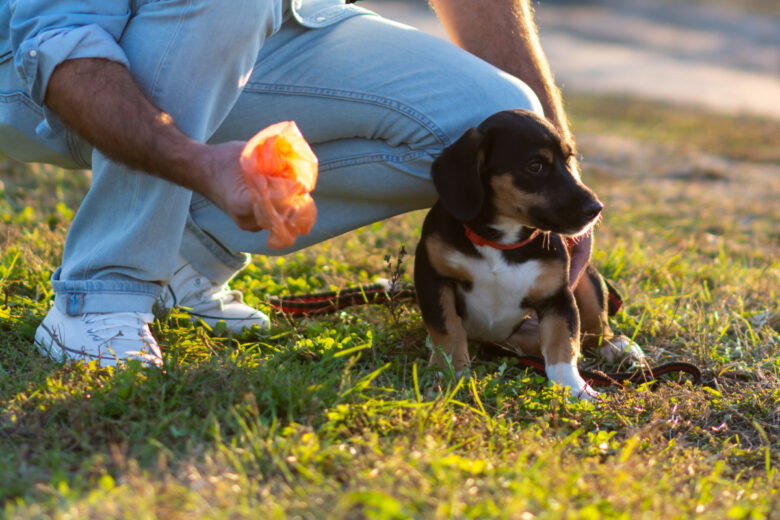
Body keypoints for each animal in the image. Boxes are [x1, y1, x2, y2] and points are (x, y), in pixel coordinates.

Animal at [414, 110, 640, 402]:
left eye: (569, 159)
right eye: (535, 166)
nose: (596, 208)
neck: (501, 241)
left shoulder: (557, 297)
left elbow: (563, 344)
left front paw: (574, 387)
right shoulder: (432, 277)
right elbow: (447, 329)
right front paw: (450, 373)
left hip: (586, 278)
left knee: (594, 330)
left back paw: (618, 347)